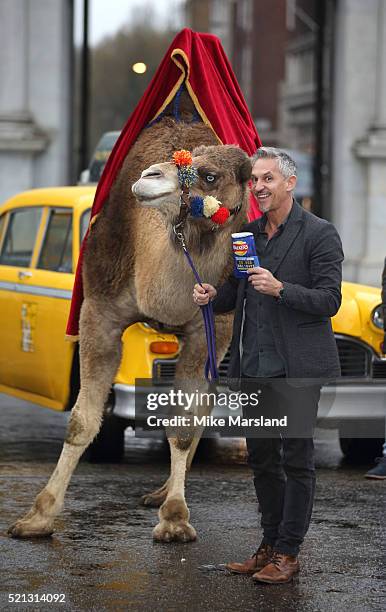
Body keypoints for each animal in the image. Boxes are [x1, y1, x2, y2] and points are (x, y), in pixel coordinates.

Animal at [7, 93, 252, 544]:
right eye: (175, 161)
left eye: (209, 176)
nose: (148, 178)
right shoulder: (99, 312)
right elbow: (82, 420)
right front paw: (37, 516)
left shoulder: (209, 328)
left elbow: (183, 422)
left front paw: (174, 518)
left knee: (202, 408)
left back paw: (163, 494)